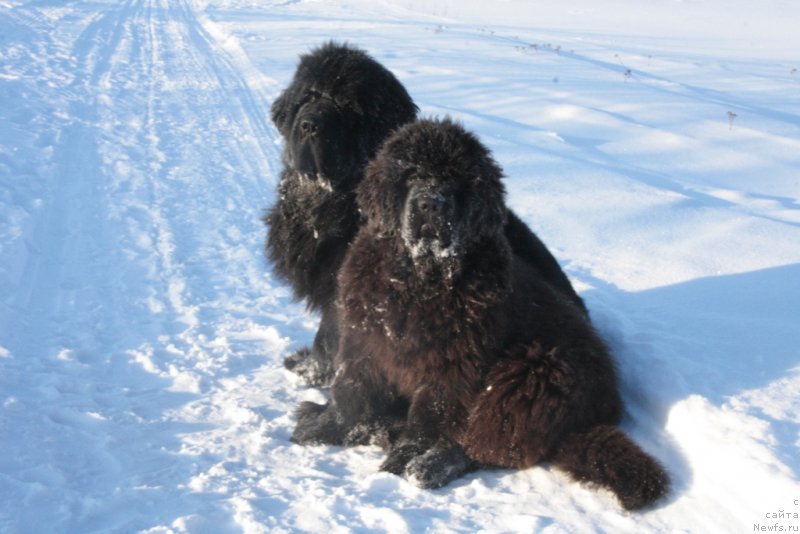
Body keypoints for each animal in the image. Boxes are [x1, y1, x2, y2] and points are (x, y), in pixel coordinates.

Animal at [266, 42, 584, 390]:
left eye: (347, 106)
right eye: (309, 96)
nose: (310, 124)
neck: (334, 199)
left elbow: (328, 338)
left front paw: (313, 371)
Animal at [294, 119, 668, 512]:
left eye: (454, 180)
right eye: (410, 174)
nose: (430, 203)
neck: (419, 276)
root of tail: (601, 411)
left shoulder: (450, 367)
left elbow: (429, 419)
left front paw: (405, 455)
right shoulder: (366, 340)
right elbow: (353, 389)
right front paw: (328, 426)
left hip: (534, 372)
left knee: (488, 445)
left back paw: (429, 464)